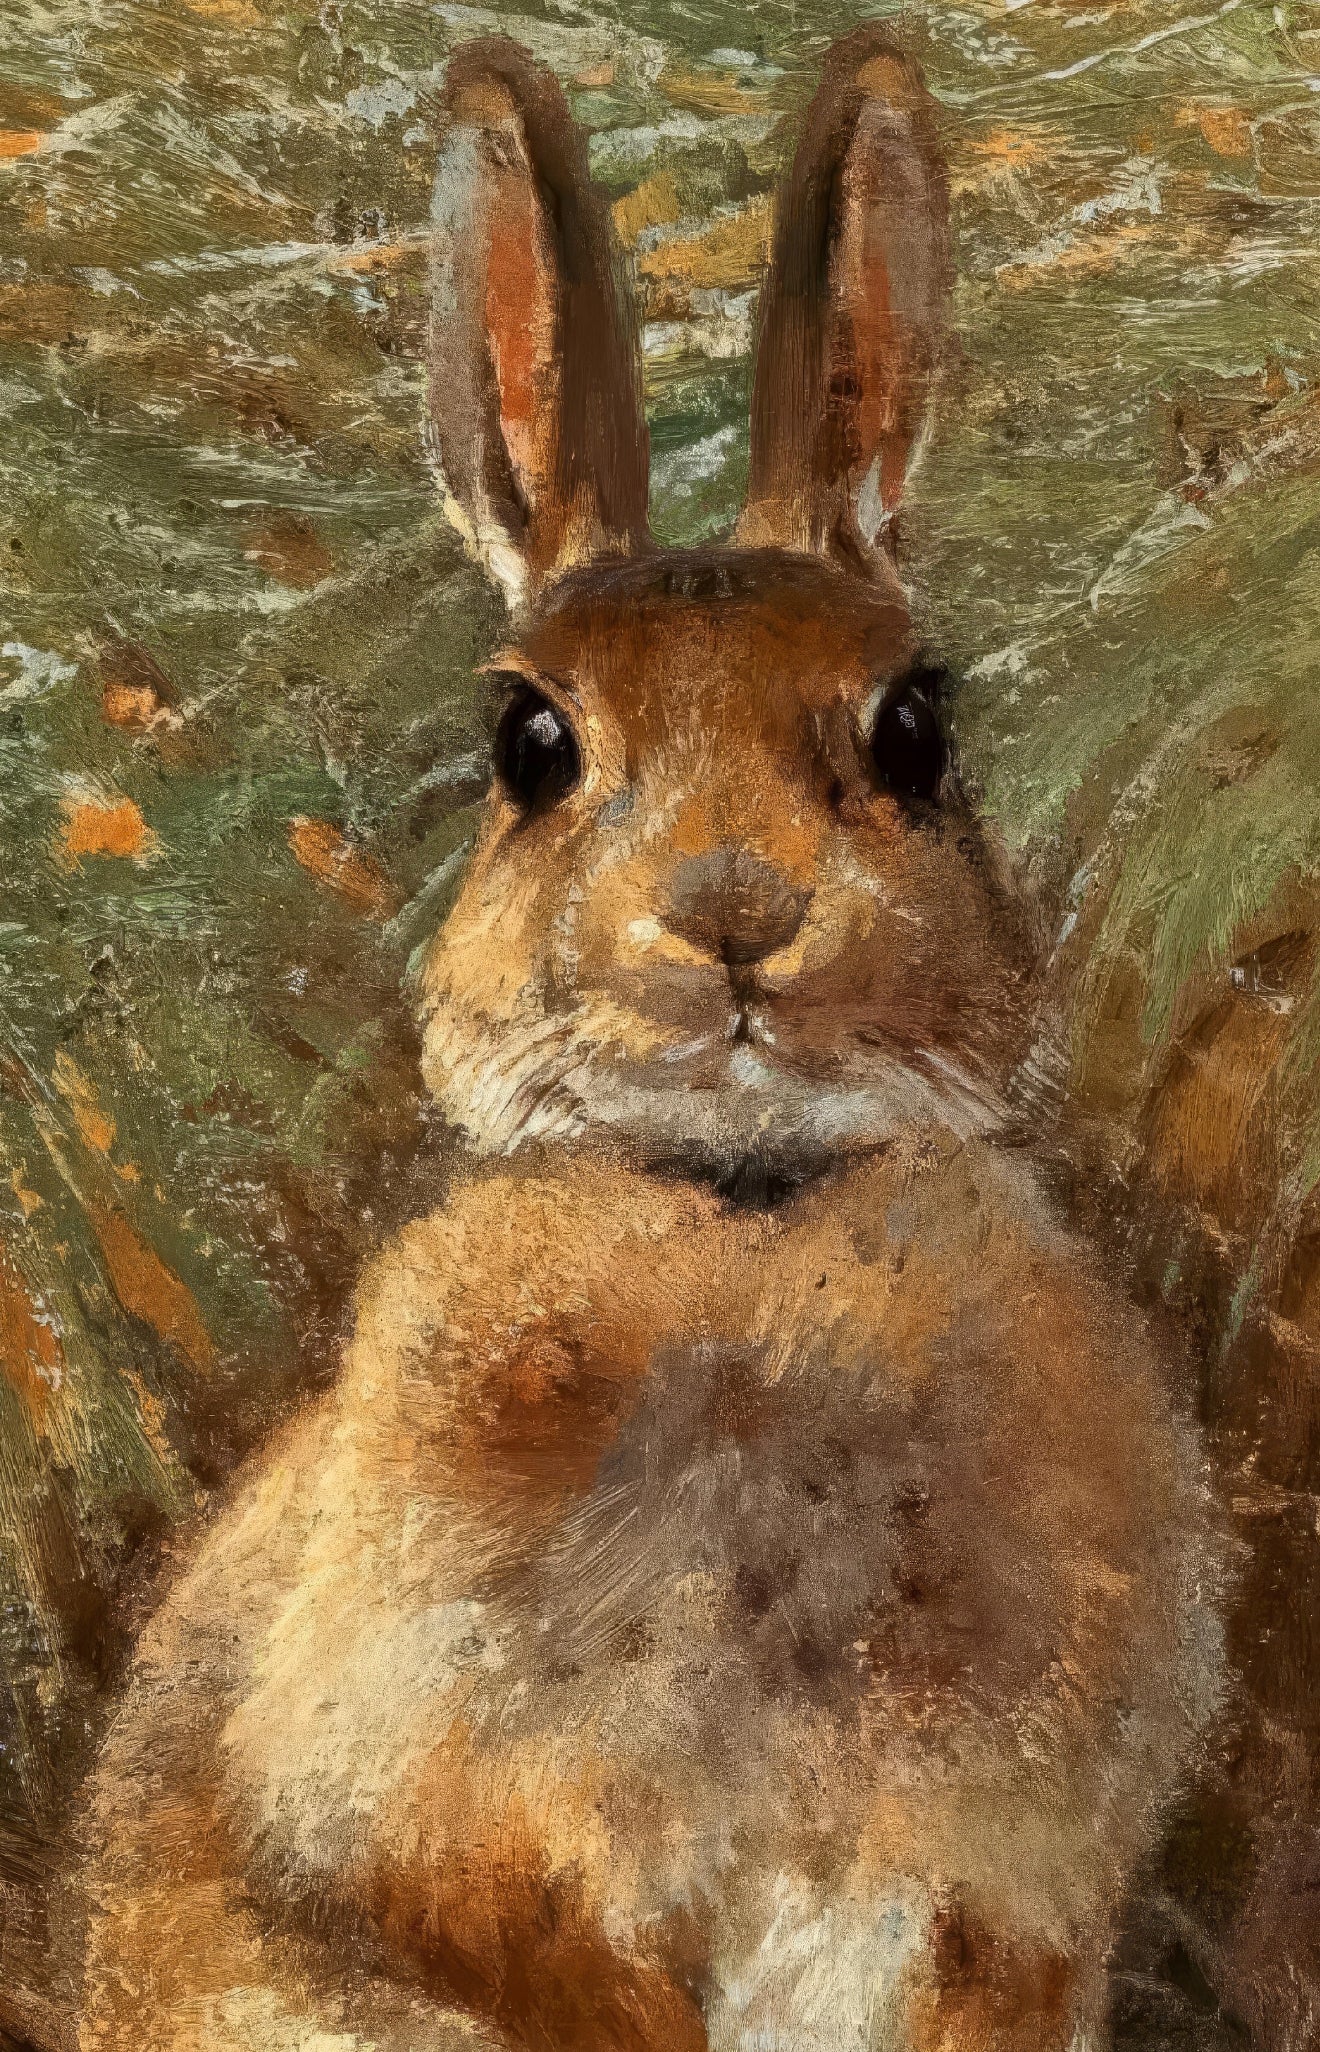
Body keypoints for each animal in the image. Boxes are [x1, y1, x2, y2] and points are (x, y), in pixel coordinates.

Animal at [77, 31, 1224, 2052]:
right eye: (529, 743)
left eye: (916, 729)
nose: (735, 912)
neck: (743, 1227)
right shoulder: (452, 1835)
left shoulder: (999, 1905)